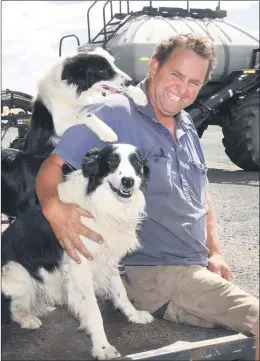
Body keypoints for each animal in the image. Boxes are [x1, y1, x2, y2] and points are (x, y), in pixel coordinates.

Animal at [1, 143, 152, 360]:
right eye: (111, 161)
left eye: (136, 162)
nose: (128, 181)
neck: (100, 202)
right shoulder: (80, 268)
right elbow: (94, 312)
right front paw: (102, 348)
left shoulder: (108, 259)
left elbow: (120, 292)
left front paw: (134, 315)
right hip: (17, 271)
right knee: (9, 309)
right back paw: (27, 318)